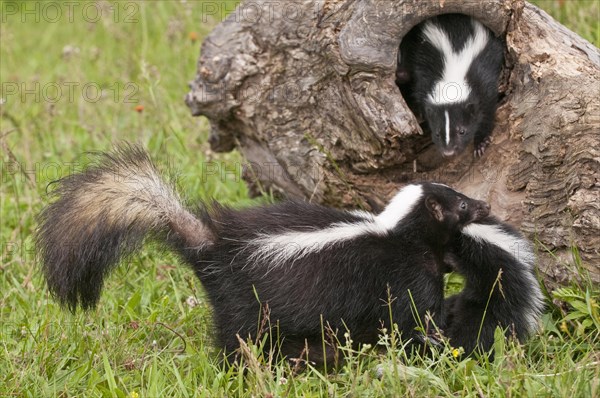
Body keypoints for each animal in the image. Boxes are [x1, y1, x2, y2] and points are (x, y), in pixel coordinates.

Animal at [35, 144, 490, 364]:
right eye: (461, 205)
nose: (485, 205)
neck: (397, 231)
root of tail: (212, 243)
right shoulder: (403, 273)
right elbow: (412, 316)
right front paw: (438, 343)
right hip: (247, 300)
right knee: (239, 338)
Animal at [400, 14, 504, 157]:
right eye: (437, 133)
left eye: (462, 131)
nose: (448, 152)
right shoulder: (425, 65)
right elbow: (420, 91)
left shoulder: (482, 74)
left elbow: (487, 109)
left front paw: (481, 143)